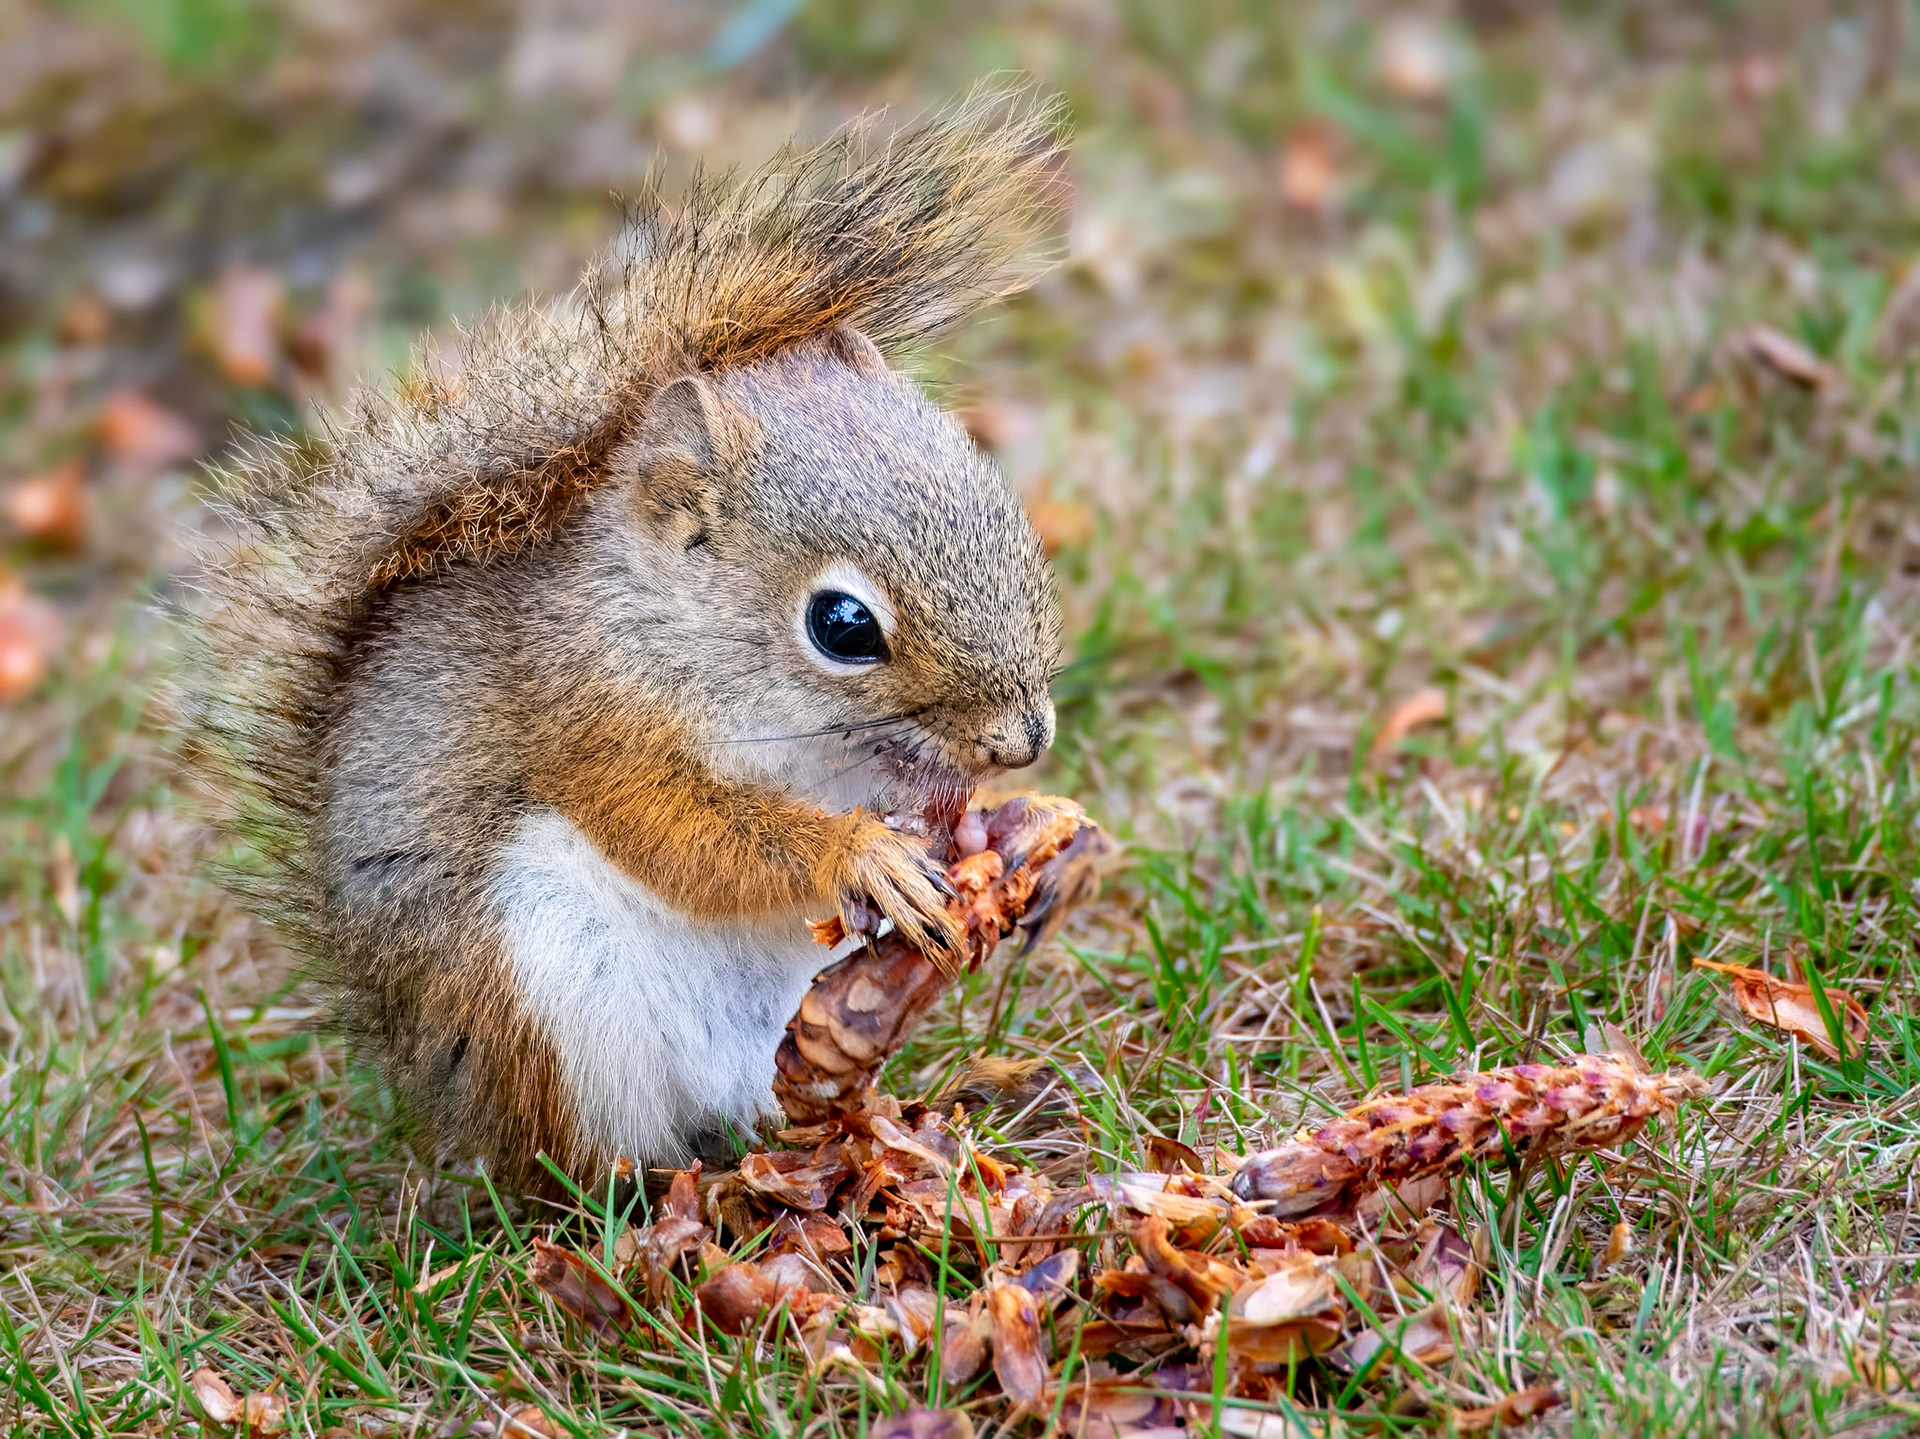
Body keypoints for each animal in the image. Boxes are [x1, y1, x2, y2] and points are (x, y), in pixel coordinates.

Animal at [175, 86, 1069, 1191]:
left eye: (1001, 503)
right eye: (843, 625)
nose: (1023, 739)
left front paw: (1018, 839)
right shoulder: (588, 713)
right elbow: (681, 831)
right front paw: (858, 855)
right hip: (542, 994)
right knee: (581, 1161)